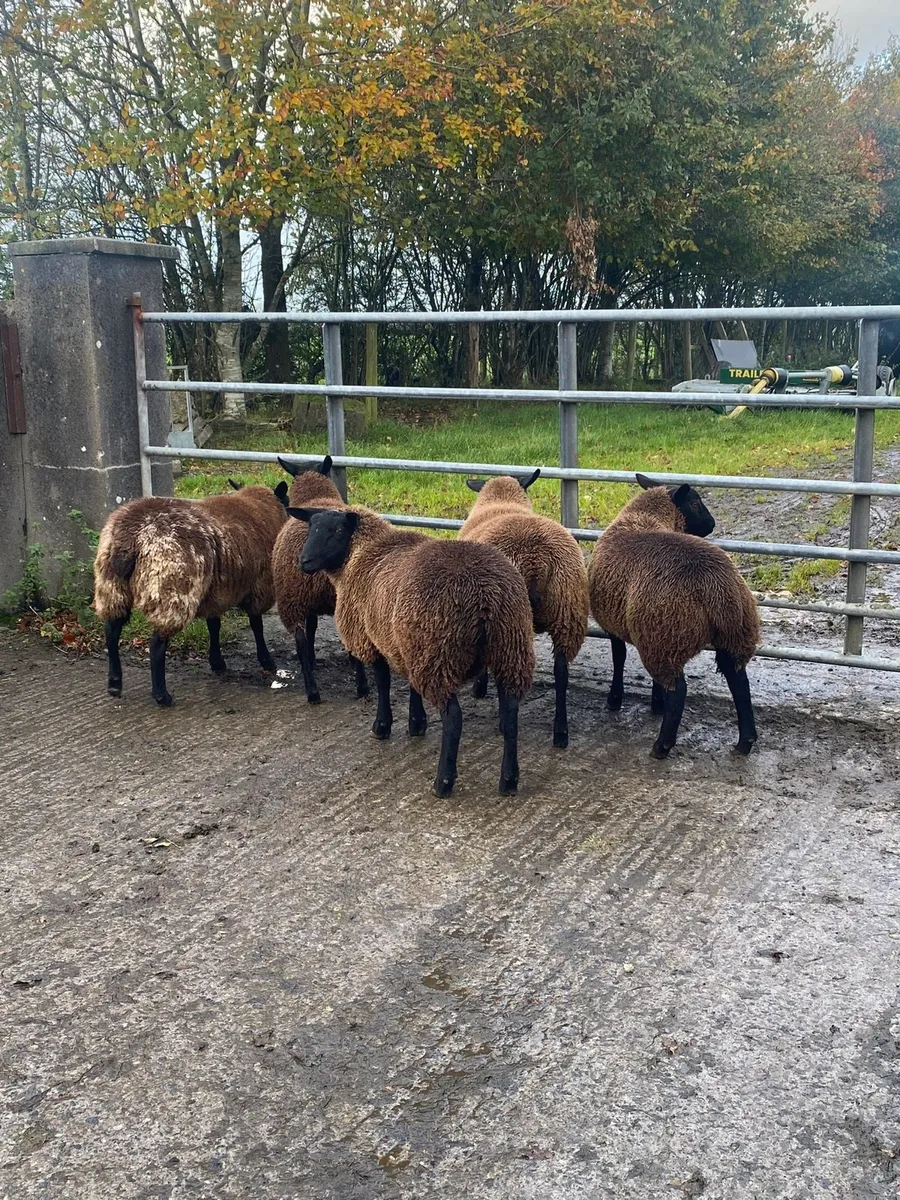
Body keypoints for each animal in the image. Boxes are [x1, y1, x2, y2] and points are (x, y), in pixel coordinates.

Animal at [93, 480, 289, 706]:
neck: (261, 507)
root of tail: (128, 537)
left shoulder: (216, 592)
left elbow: (214, 625)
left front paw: (217, 662)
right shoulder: (259, 587)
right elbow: (256, 625)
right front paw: (266, 661)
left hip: (111, 585)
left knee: (111, 630)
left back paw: (114, 683)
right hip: (171, 589)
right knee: (157, 643)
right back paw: (162, 696)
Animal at [271, 454, 368, 703]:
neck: (315, 496)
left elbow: (312, 629)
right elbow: (313, 627)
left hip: (292, 601)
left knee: (300, 644)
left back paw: (315, 691)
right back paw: (358, 687)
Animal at [286, 505, 535, 797]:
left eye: (337, 530)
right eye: (310, 526)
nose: (304, 562)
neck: (364, 552)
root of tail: (486, 595)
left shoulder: (373, 638)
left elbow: (383, 682)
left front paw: (382, 726)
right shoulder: (406, 645)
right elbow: (412, 687)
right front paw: (416, 724)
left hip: (440, 653)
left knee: (454, 718)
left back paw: (443, 782)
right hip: (508, 648)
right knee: (510, 715)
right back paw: (509, 781)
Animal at [459, 469, 589, 748]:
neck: (501, 502)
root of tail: (536, 559)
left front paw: (478, 687)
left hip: (510, 620)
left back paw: (503, 723)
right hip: (568, 610)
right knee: (561, 671)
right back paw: (560, 732)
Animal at [588, 473, 760, 758]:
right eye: (695, 503)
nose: (712, 525)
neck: (643, 517)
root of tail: (714, 584)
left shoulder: (618, 625)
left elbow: (618, 658)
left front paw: (615, 700)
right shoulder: (641, 628)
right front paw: (656, 705)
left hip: (667, 634)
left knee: (679, 690)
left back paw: (662, 746)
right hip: (728, 633)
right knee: (739, 682)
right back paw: (745, 741)